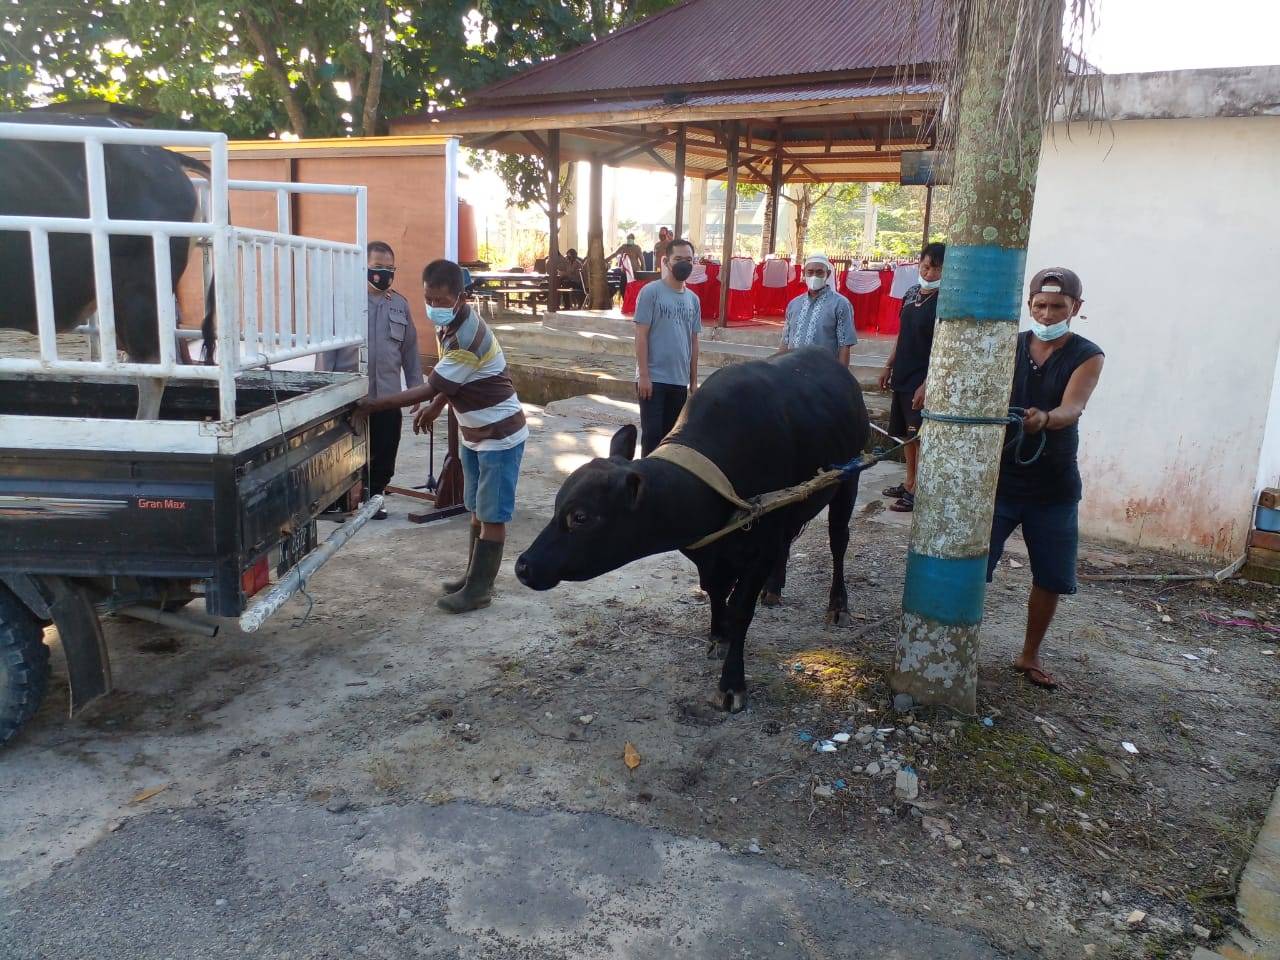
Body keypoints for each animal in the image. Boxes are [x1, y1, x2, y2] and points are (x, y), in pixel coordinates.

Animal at [517, 348, 870, 716]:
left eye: (581, 516)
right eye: (557, 504)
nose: (524, 565)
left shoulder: (760, 546)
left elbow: (741, 609)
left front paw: (731, 683)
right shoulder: (711, 553)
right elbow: (715, 592)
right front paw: (719, 635)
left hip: (849, 481)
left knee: (838, 540)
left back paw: (838, 606)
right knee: (788, 543)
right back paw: (773, 590)